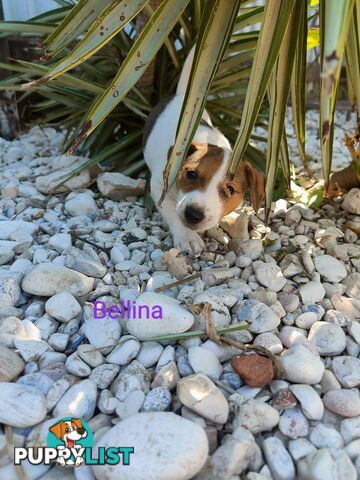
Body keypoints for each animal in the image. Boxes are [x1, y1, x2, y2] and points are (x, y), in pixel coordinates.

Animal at [143, 46, 264, 255]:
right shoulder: (160, 185)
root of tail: (184, 97)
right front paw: (188, 236)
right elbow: (172, 211)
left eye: (230, 189)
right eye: (191, 174)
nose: (193, 214)